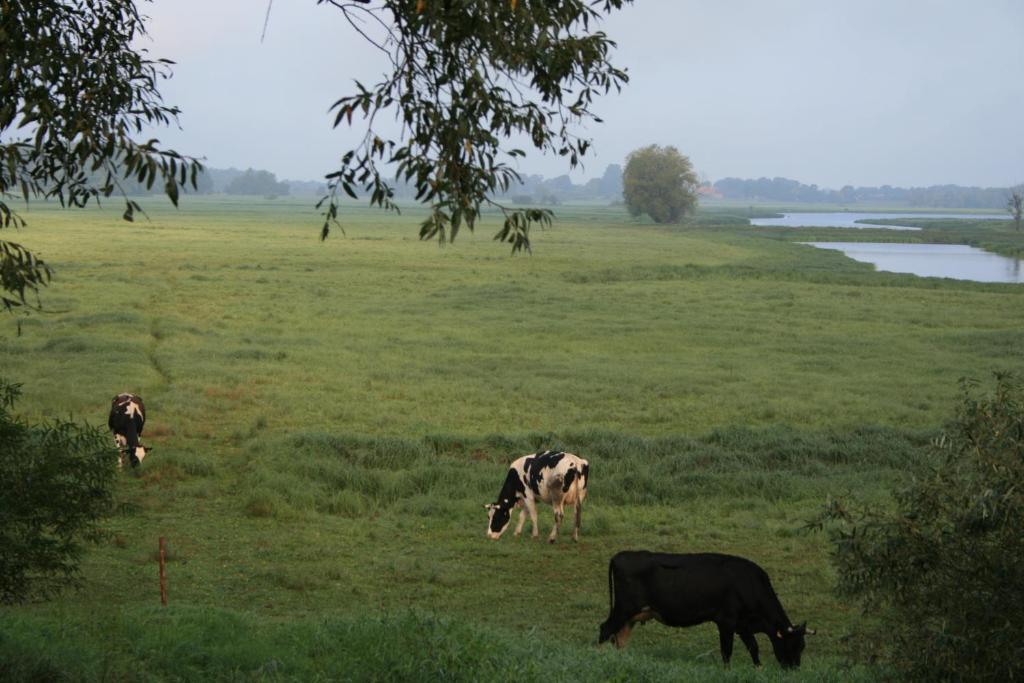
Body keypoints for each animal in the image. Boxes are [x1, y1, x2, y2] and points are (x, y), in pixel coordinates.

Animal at [598, 552, 811, 671]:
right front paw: (727, 672)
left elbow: (753, 647)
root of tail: (619, 555)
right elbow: (727, 651)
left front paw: (758, 669)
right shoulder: (726, 621)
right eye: (792, 644)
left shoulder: (743, 625)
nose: (794, 670)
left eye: (802, 646)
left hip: (631, 615)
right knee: (605, 629)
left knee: (620, 637)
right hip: (624, 607)